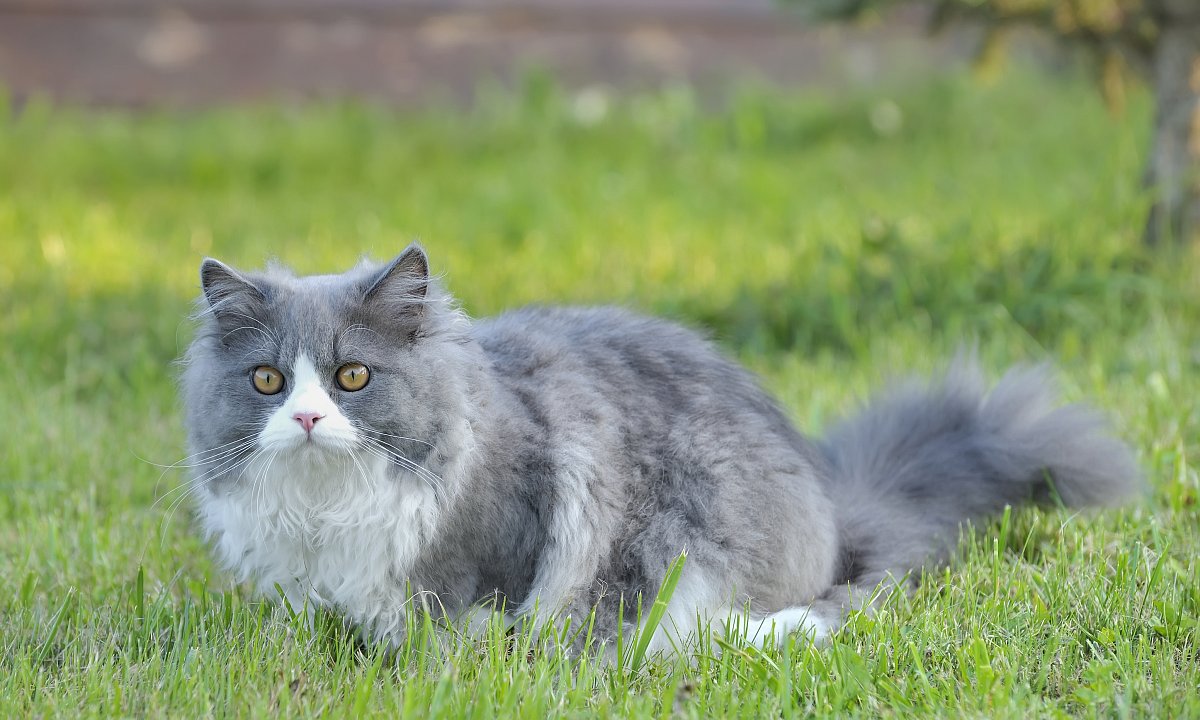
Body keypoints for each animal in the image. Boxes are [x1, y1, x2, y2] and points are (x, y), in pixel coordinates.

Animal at [180, 244, 1142, 657]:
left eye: (351, 377)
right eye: (269, 382)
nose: (308, 420)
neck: (327, 508)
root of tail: (837, 504)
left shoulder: (503, 552)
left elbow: (459, 626)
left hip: (699, 535)